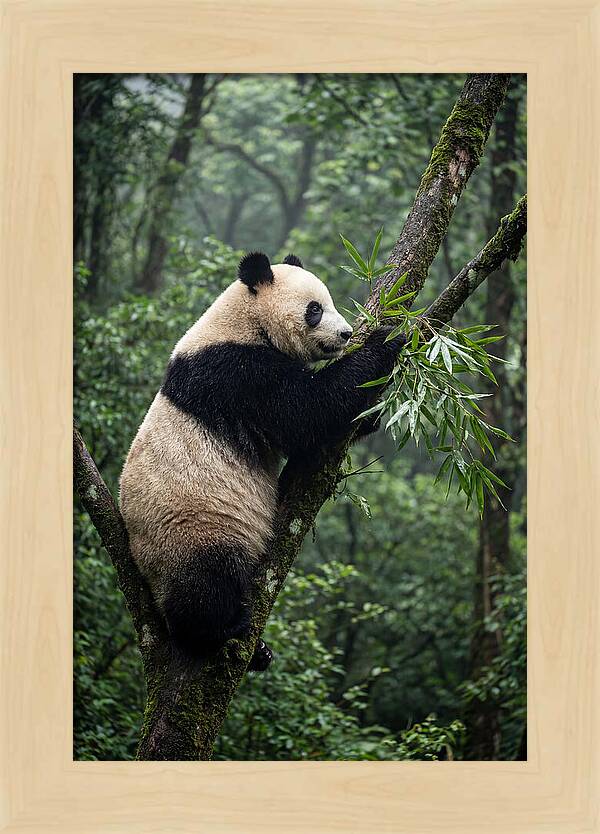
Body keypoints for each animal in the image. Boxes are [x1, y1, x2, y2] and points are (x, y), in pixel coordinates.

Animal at [119, 252, 403, 671]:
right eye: (315, 310)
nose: (346, 334)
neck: (244, 321)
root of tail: (144, 571)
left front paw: (371, 414)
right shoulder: (235, 373)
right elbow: (306, 410)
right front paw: (388, 338)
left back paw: (260, 653)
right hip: (191, 528)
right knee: (206, 583)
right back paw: (221, 629)